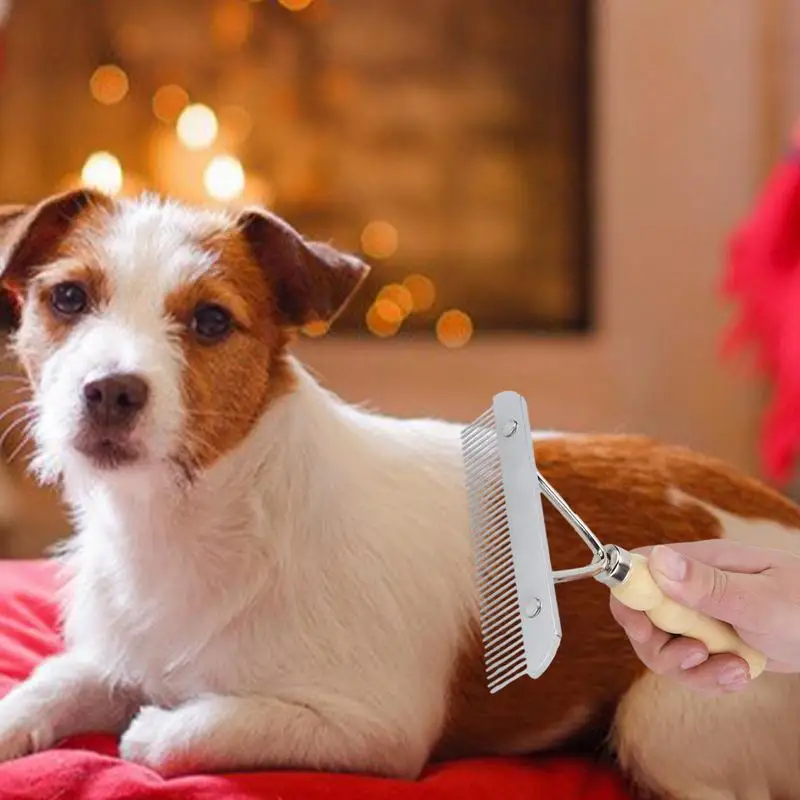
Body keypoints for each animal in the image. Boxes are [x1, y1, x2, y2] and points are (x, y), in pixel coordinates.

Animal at [0, 191, 800, 796]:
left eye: (211, 320)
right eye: (67, 298)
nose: (110, 391)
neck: (198, 519)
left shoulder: (366, 727)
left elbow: (184, 729)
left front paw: (153, 726)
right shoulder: (117, 652)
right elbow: (52, 679)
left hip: (665, 718)